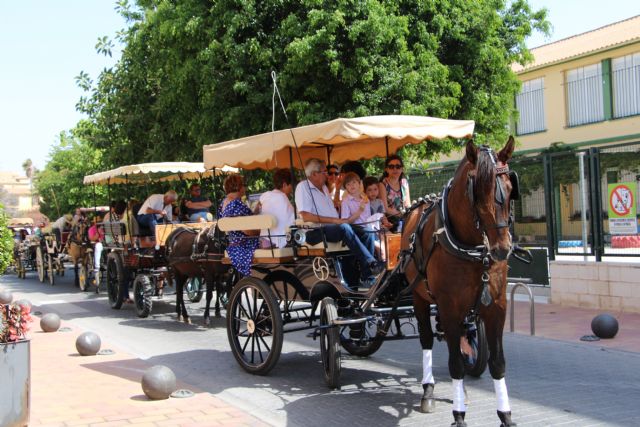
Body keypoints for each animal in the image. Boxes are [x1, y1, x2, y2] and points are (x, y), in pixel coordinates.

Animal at [404, 138, 520, 427]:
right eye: (476, 192)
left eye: (510, 187)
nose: (502, 249)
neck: (475, 250)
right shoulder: (448, 306)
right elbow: (455, 364)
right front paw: (458, 415)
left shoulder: (496, 307)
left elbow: (497, 362)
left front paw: (506, 415)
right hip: (420, 297)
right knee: (426, 339)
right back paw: (428, 390)